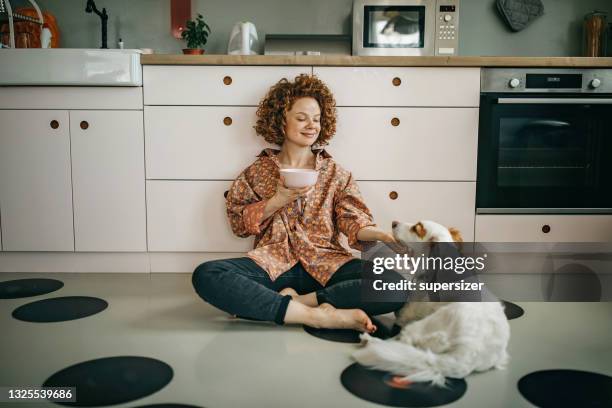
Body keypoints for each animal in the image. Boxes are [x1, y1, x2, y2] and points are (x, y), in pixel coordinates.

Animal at [352, 220, 510, 386]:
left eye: (416, 228)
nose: (394, 222)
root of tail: (468, 353)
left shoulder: (409, 311)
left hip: (422, 326)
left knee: (403, 340)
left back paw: (369, 340)